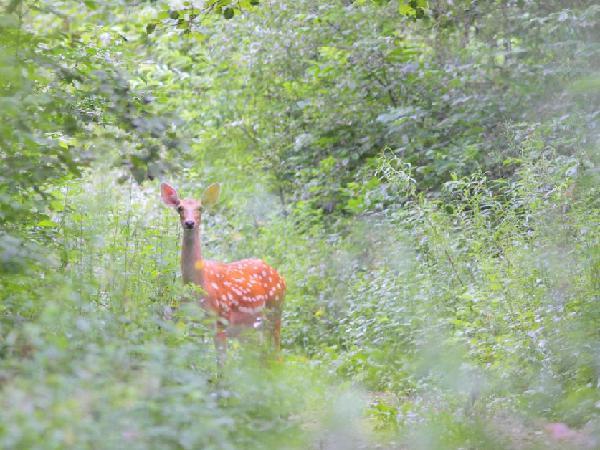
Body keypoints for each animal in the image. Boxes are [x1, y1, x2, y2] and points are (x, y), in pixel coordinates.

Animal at [161, 181, 284, 364]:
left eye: (200, 208)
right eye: (180, 208)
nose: (189, 223)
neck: (200, 284)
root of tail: (281, 277)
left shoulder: (221, 321)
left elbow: (222, 365)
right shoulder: (189, 318)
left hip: (275, 312)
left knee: (277, 354)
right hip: (251, 329)